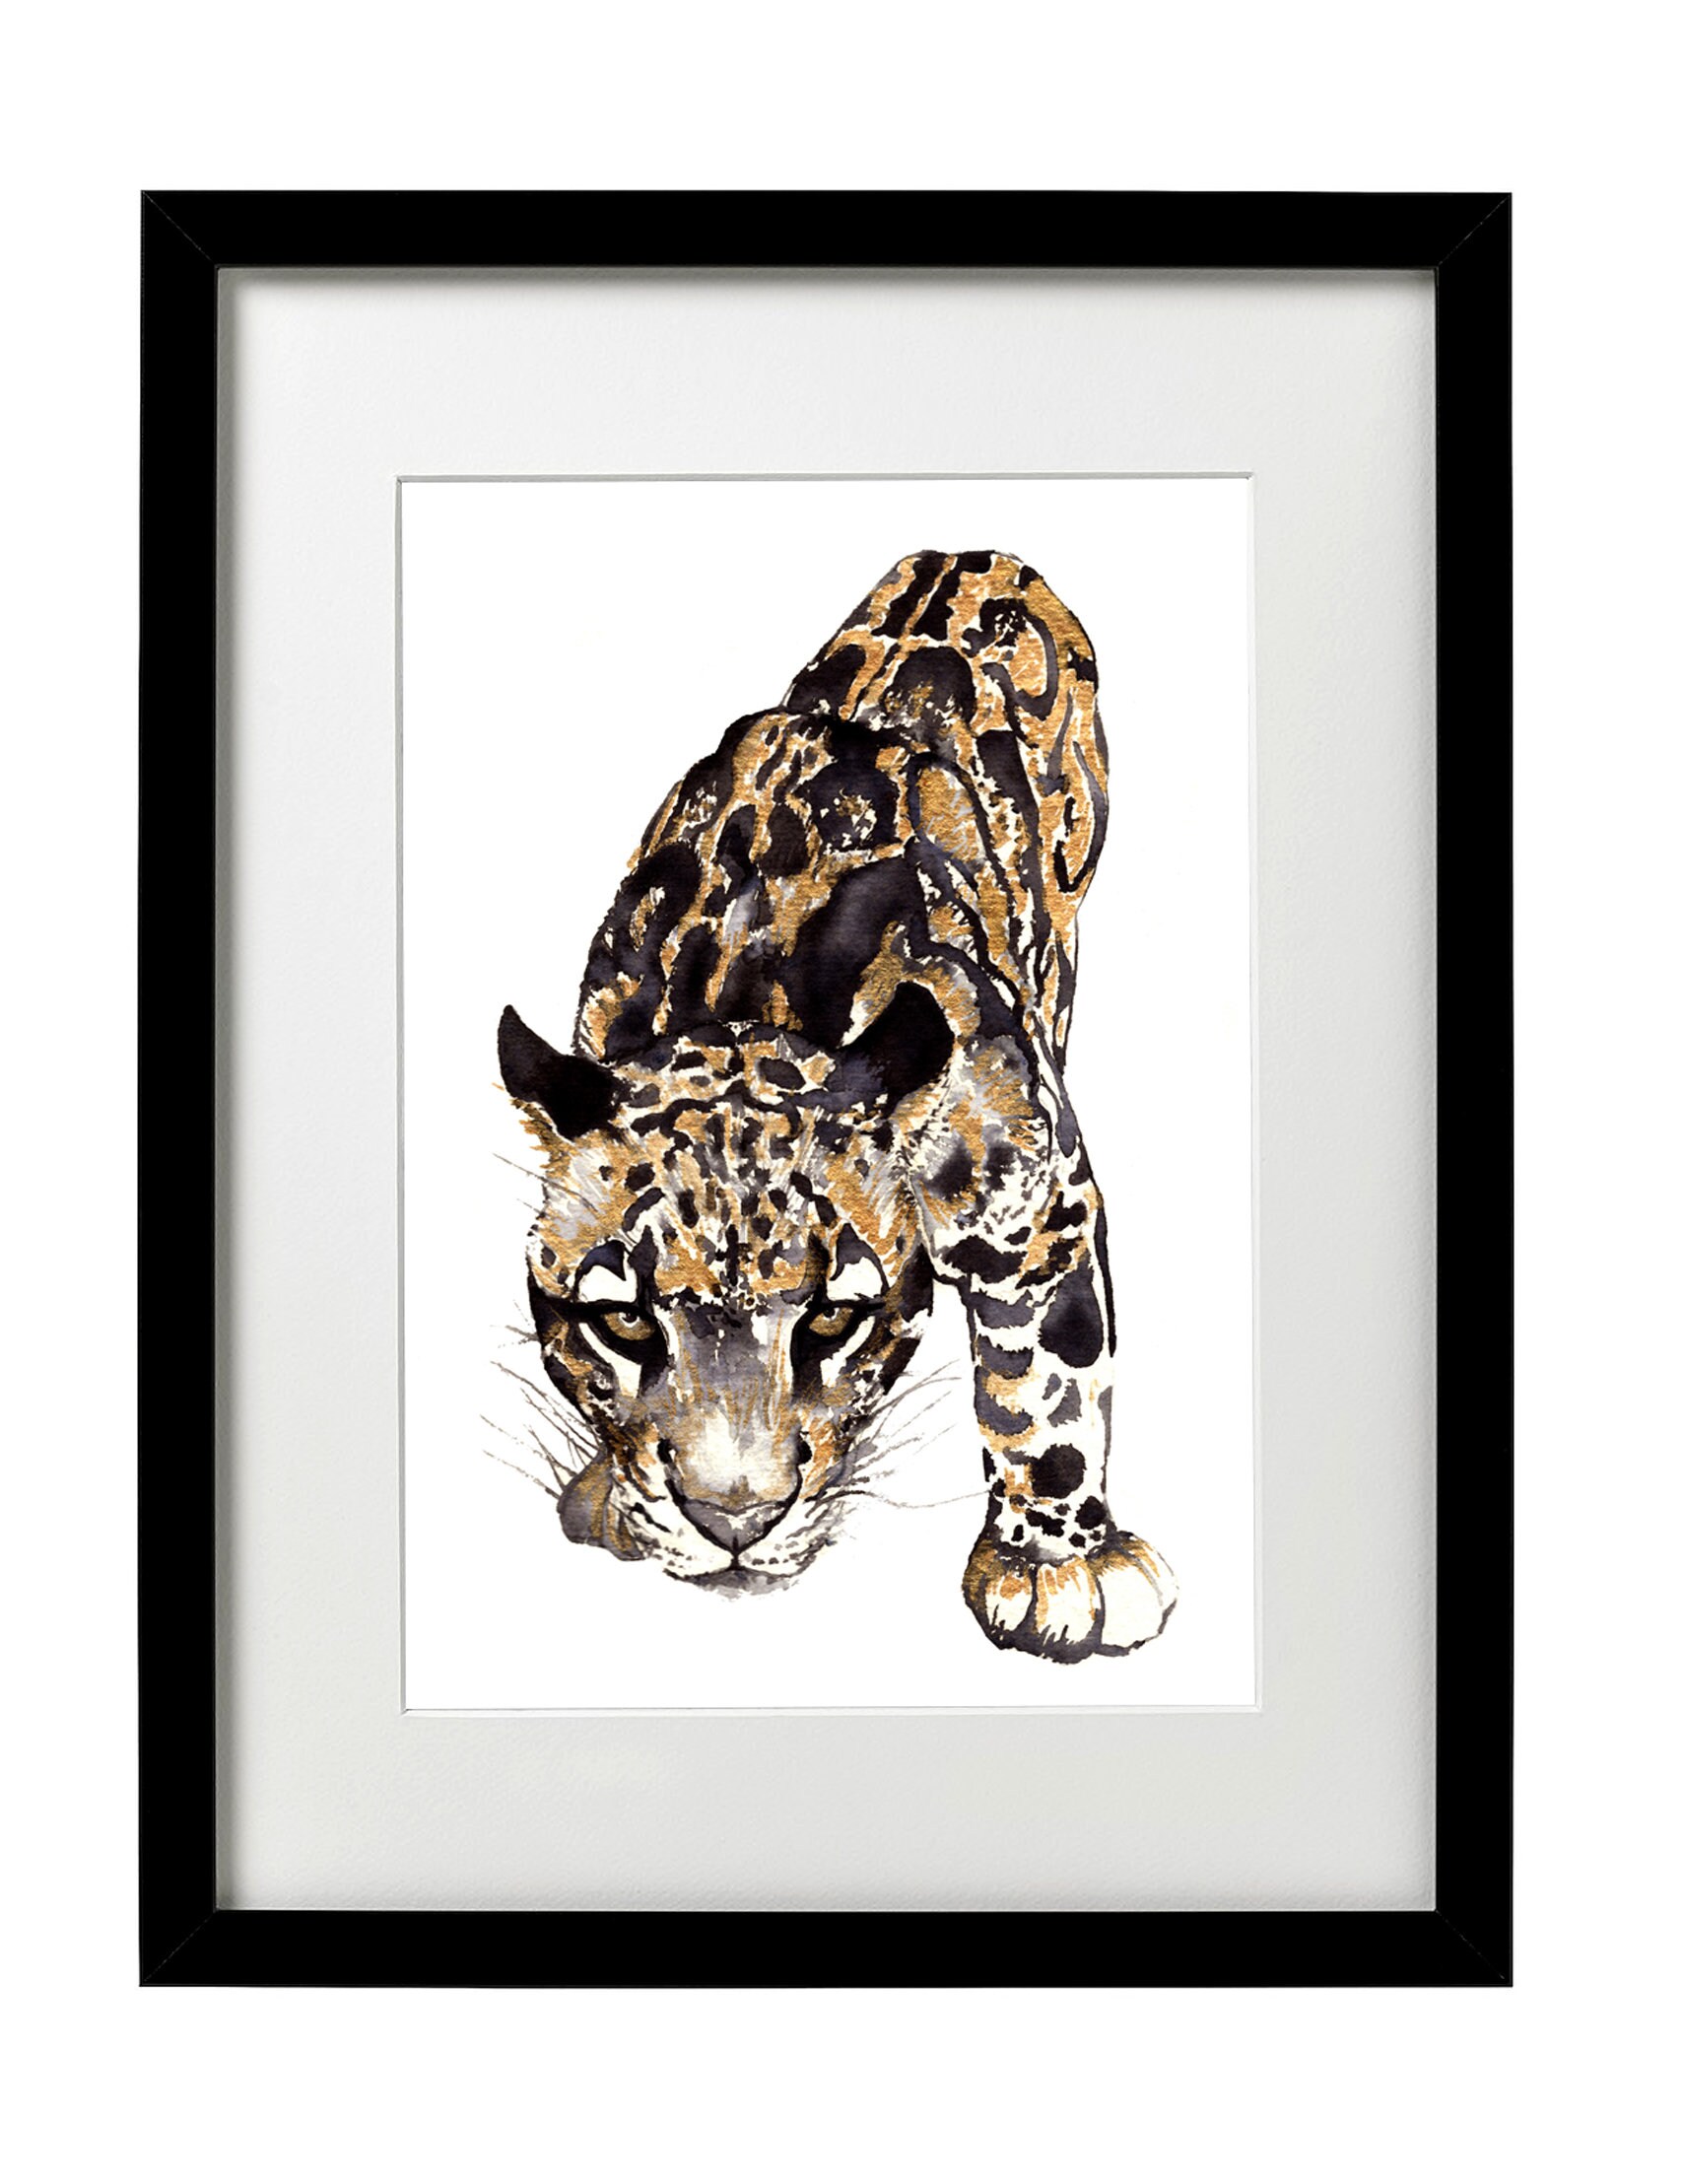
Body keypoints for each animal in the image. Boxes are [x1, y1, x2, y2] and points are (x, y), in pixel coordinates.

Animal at [498, 548, 1176, 1661]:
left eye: (832, 1319)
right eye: (623, 1321)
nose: (733, 1520)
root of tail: (968, 549)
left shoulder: (1032, 1197)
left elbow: (1047, 1371)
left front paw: (1059, 1560)